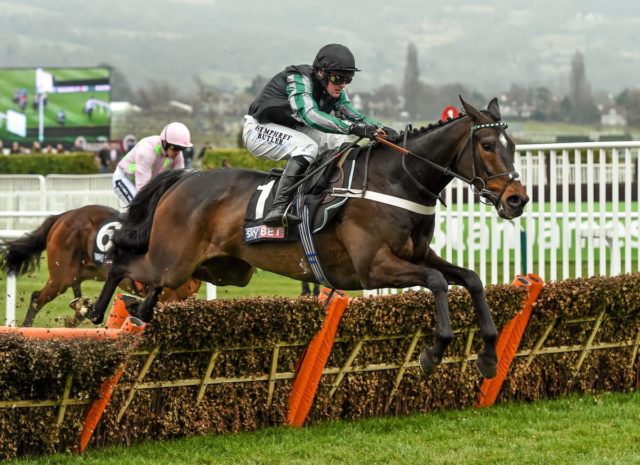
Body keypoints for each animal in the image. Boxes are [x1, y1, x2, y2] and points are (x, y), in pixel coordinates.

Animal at [0, 203, 200, 326]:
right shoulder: (168, 297)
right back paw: (26, 327)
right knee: (37, 298)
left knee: (77, 308)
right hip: (61, 277)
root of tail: (63, 216)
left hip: (80, 273)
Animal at [82, 98, 528, 376]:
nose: (517, 199)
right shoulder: (373, 268)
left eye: (513, 145)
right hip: (175, 260)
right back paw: (93, 310)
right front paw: (435, 351)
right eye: (488, 145)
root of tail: (184, 178)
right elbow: (437, 283)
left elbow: (470, 279)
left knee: (152, 283)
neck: (397, 179)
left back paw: (138, 312)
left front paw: (489, 354)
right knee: (123, 261)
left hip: (222, 269)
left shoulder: (419, 255)